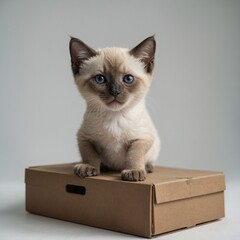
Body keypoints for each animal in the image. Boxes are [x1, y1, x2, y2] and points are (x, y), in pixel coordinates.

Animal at [69, 36, 159, 181]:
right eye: (100, 79)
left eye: (128, 78)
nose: (115, 92)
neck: (115, 117)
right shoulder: (84, 138)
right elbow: (89, 154)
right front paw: (89, 167)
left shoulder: (143, 138)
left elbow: (134, 154)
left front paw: (134, 171)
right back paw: (103, 166)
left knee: (149, 160)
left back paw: (148, 168)